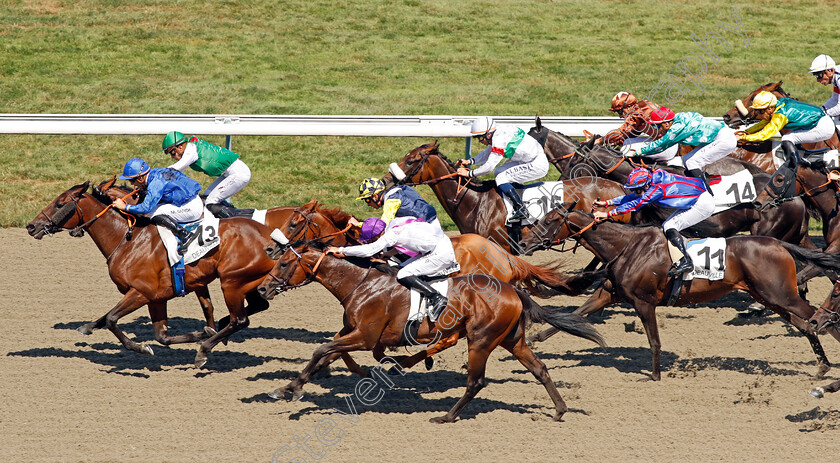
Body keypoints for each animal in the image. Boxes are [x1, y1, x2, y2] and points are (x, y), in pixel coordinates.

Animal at [24, 179, 276, 368]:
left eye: (59, 204)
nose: (31, 226)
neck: (128, 240)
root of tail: (271, 237)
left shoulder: (141, 292)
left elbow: (112, 319)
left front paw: (142, 348)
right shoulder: (157, 298)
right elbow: (162, 336)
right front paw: (201, 333)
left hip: (232, 281)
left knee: (239, 319)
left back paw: (204, 351)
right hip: (248, 282)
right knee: (254, 308)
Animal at [256, 239, 604, 424]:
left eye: (284, 264)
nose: (262, 288)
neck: (361, 284)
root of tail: (513, 289)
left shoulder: (364, 337)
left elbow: (322, 350)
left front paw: (292, 389)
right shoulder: (353, 335)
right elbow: (327, 355)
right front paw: (288, 388)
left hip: (481, 339)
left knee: (476, 381)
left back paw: (447, 416)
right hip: (512, 340)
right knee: (540, 369)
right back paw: (559, 410)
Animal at [520, 208, 840, 382]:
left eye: (548, 221)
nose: (523, 243)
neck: (626, 246)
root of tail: (779, 243)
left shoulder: (643, 302)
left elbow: (654, 340)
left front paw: (655, 375)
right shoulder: (609, 294)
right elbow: (576, 314)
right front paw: (536, 337)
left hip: (781, 295)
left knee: (818, 319)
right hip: (769, 297)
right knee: (806, 326)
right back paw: (822, 366)